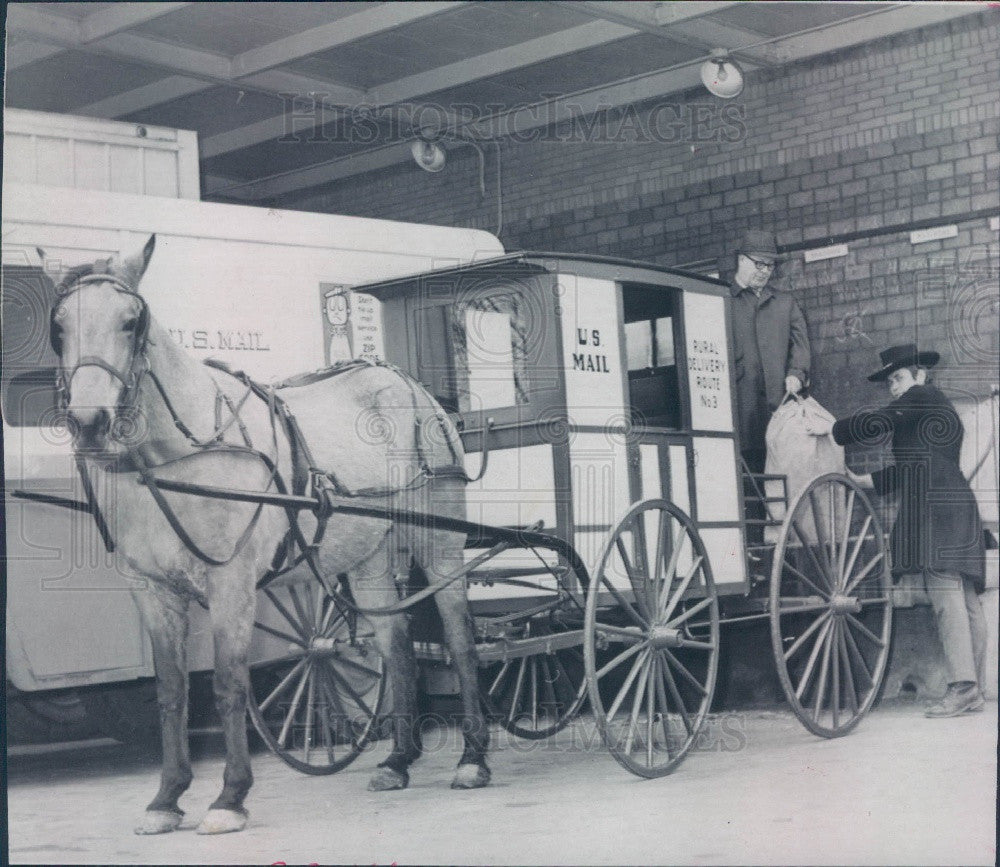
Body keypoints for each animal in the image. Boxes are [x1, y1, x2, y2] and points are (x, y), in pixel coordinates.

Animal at [47, 236, 492, 836]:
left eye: (131, 321)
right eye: (59, 326)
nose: (90, 422)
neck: (178, 455)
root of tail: (406, 383)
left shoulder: (231, 583)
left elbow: (229, 684)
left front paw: (229, 797)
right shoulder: (152, 590)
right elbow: (171, 691)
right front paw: (167, 798)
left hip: (438, 542)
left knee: (460, 637)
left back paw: (473, 758)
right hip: (369, 555)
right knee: (396, 643)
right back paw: (398, 760)